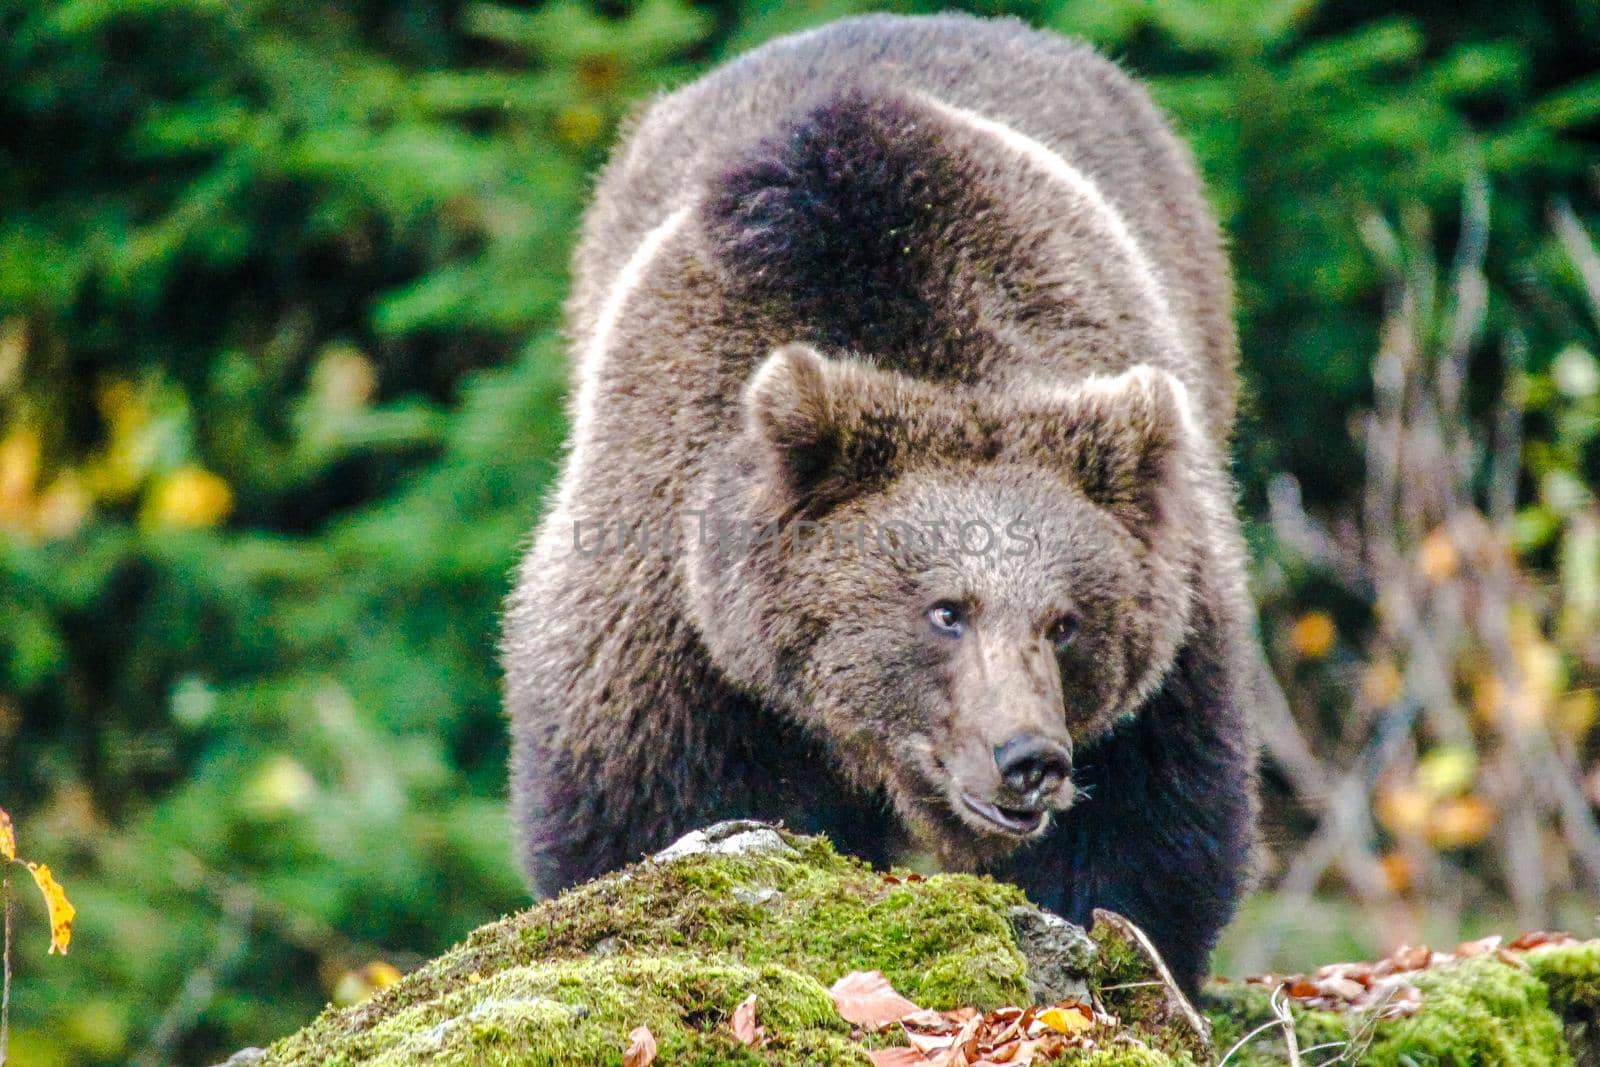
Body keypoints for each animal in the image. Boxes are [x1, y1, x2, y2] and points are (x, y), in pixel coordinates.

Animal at [502, 10, 1260, 991]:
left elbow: (1149, 815)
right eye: (945, 610)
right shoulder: (666, 600)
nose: (1030, 759)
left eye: (1066, 621)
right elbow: (643, 802)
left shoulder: (1173, 620)